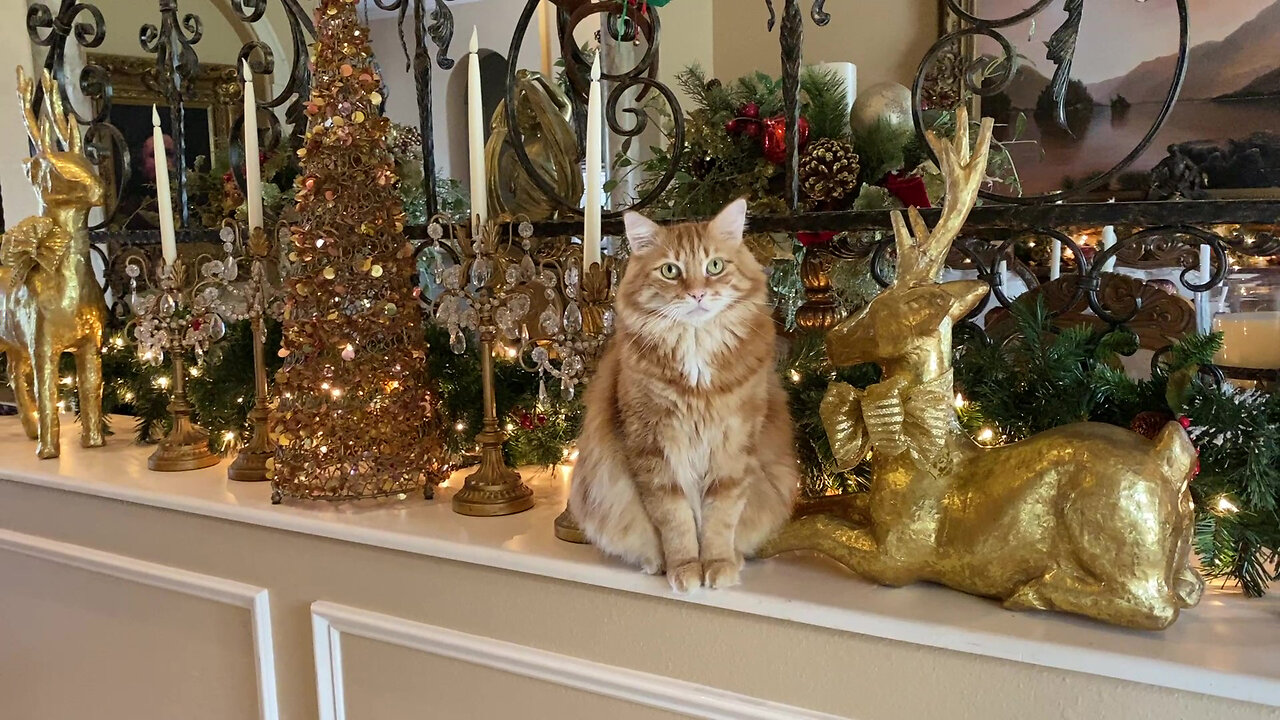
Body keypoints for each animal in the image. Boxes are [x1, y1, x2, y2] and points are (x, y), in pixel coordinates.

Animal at [573, 197, 798, 589]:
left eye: (715, 266)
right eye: (670, 271)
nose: (697, 293)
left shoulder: (733, 445)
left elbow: (720, 517)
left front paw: (717, 563)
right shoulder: (652, 447)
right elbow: (675, 519)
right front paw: (684, 567)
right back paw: (656, 563)